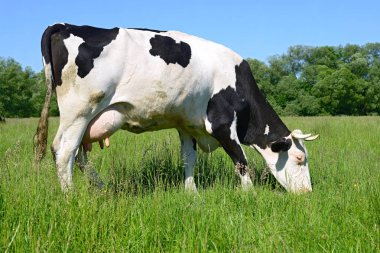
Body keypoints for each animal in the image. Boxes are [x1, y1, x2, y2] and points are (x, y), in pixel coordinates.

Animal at [34, 23, 318, 194]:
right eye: (299, 158)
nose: (307, 193)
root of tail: (63, 26)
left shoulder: (187, 125)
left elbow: (188, 159)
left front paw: (191, 193)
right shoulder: (222, 124)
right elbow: (241, 161)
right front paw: (250, 194)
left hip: (86, 119)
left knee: (79, 155)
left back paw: (101, 188)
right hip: (79, 111)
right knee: (64, 151)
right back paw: (70, 196)